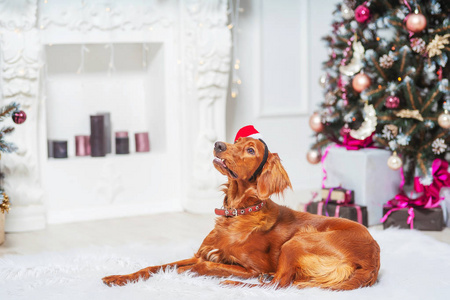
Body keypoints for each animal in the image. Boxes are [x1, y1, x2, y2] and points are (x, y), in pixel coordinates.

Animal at [103, 125, 380, 290]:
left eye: (250, 149)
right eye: (236, 141)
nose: (218, 144)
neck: (236, 213)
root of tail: (373, 258)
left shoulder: (251, 266)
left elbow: (203, 266)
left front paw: (198, 272)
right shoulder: (200, 253)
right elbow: (155, 267)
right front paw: (119, 278)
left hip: (296, 242)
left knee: (277, 283)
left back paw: (232, 283)